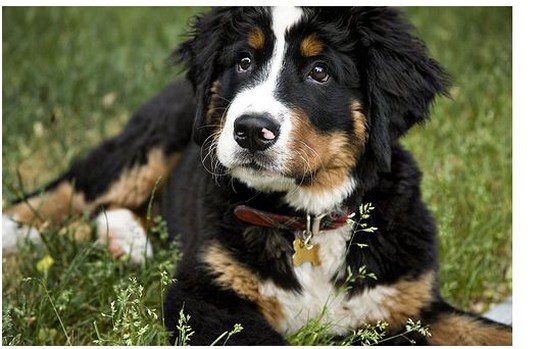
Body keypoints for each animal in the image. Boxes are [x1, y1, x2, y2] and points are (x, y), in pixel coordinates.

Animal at [3, 6, 510, 344]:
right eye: (244, 62)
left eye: (320, 71)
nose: (249, 130)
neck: (308, 220)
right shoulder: (203, 293)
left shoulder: (413, 301)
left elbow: (489, 329)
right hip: (148, 143)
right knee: (71, 191)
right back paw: (19, 235)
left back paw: (125, 242)